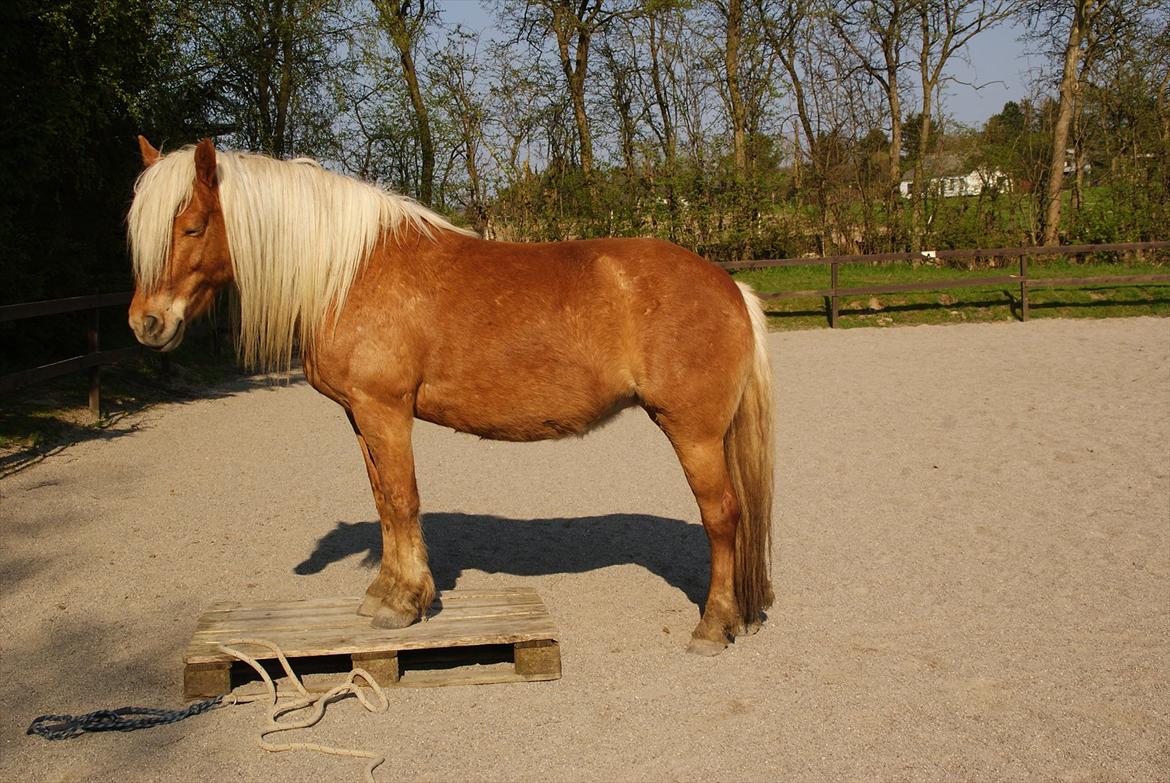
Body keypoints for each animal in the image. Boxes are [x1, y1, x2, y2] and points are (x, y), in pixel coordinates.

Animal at [125, 135, 776, 655]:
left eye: (192, 226)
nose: (146, 324)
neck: (349, 271)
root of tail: (728, 285)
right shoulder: (360, 417)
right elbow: (384, 503)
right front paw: (385, 593)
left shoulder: (385, 410)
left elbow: (403, 500)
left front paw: (405, 603)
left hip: (692, 432)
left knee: (723, 516)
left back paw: (713, 626)